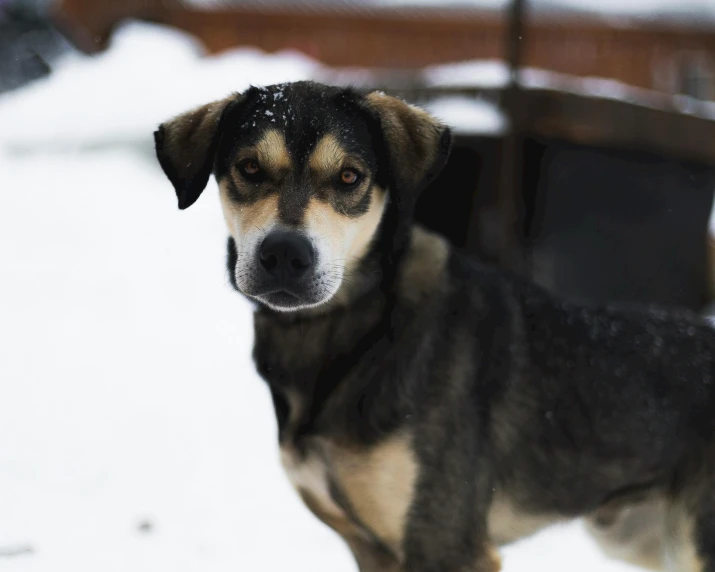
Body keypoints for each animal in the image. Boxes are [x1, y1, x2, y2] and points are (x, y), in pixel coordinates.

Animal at [155, 81, 715, 572]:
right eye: (249, 167)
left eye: (349, 177)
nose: (285, 256)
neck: (357, 331)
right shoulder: (370, 546)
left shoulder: (445, 542)